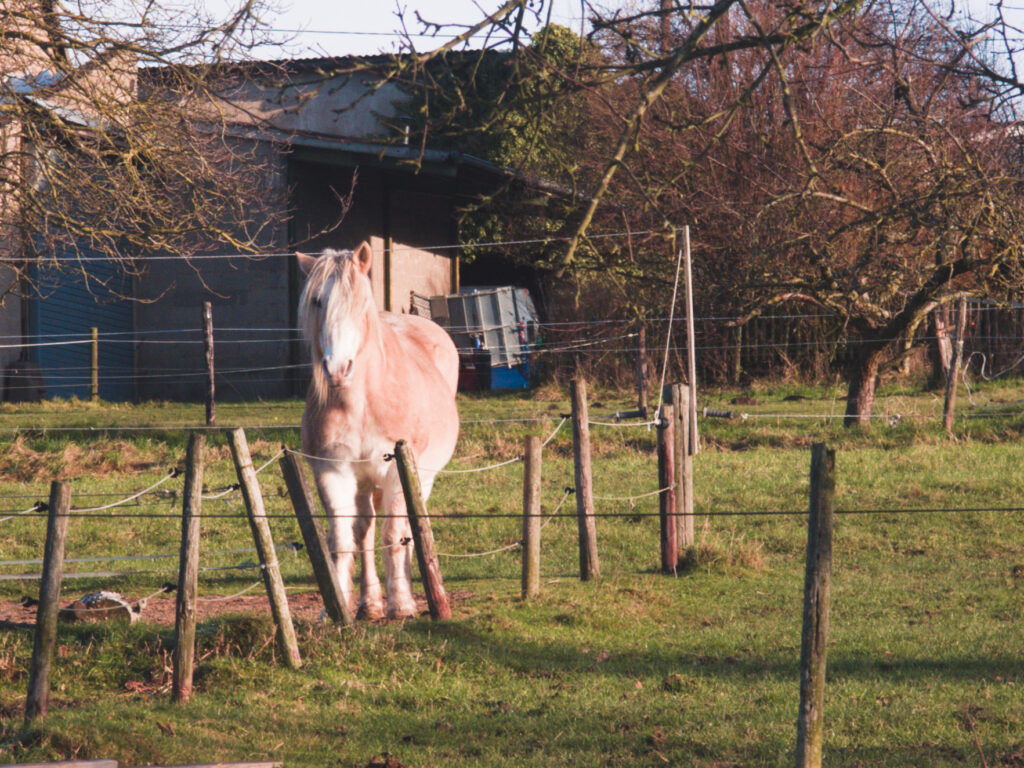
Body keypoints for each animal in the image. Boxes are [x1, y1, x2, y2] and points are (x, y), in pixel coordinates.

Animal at [294, 241, 458, 618]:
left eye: (358, 301)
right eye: (317, 301)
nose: (338, 369)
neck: (361, 402)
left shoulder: (397, 471)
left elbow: (394, 535)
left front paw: (402, 603)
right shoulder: (332, 471)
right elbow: (342, 540)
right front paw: (336, 608)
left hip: (419, 478)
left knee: (407, 529)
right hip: (364, 483)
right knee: (363, 530)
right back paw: (369, 603)